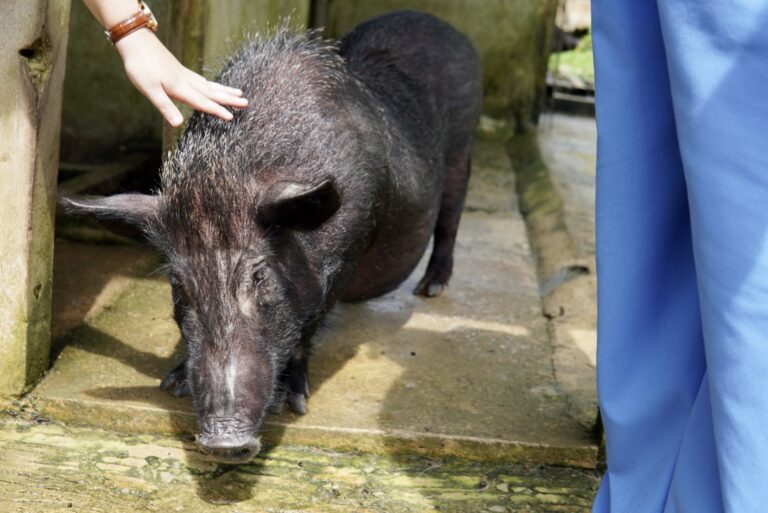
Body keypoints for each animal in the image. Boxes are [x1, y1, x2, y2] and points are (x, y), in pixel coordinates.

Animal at [62, 10, 482, 462]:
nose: (224, 443)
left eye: (260, 275)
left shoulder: (350, 249)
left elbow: (310, 322)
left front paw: (294, 403)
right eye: (177, 283)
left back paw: (430, 289)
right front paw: (172, 384)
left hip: (463, 151)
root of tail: (438, 23)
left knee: (451, 219)